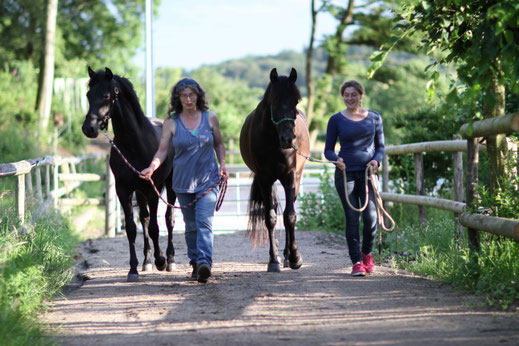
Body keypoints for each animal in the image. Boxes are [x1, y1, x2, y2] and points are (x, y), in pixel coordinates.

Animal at [82, 67, 177, 282]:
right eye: (88, 95)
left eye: (106, 95)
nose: (88, 128)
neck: (134, 143)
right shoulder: (123, 190)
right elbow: (132, 228)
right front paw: (133, 268)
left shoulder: (152, 190)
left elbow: (155, 227)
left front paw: (161, 261)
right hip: (140, 193)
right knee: (144, 218)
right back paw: (147, 261)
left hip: (169, 185)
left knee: (168, 219)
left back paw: (169, 259)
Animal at [242, 68, 310, 274]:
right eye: (275, 99)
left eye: (296, 101)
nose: (288, 138)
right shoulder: (265, 179)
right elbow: (270, 218)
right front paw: (273, 260)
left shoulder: (289, 177)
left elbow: (290, 216)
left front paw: (295, 257)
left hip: (296, 179)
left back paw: (287, 255)